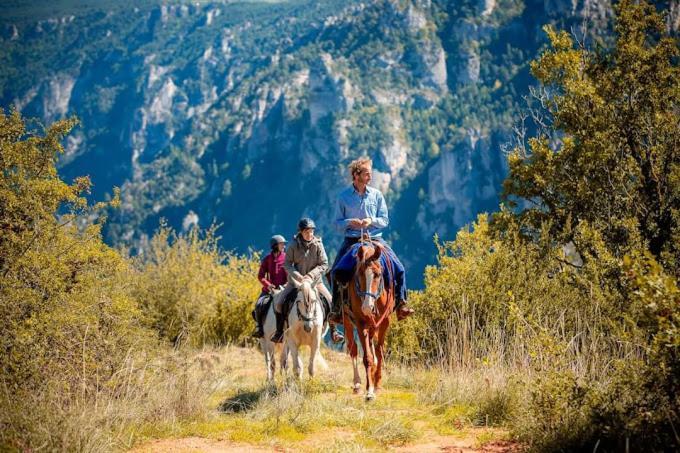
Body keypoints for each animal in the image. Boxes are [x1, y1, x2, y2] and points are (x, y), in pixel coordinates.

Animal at [342, 240, 396, 400]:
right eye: (359, 274)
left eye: (378, 274)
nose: (367, 307)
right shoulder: (361, 323)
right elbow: (367, 357)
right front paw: (369, 390)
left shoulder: (385, 321)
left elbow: (379, 350)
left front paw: (377, 383)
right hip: (347, 319)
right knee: (353, 348)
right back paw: (357, 384)